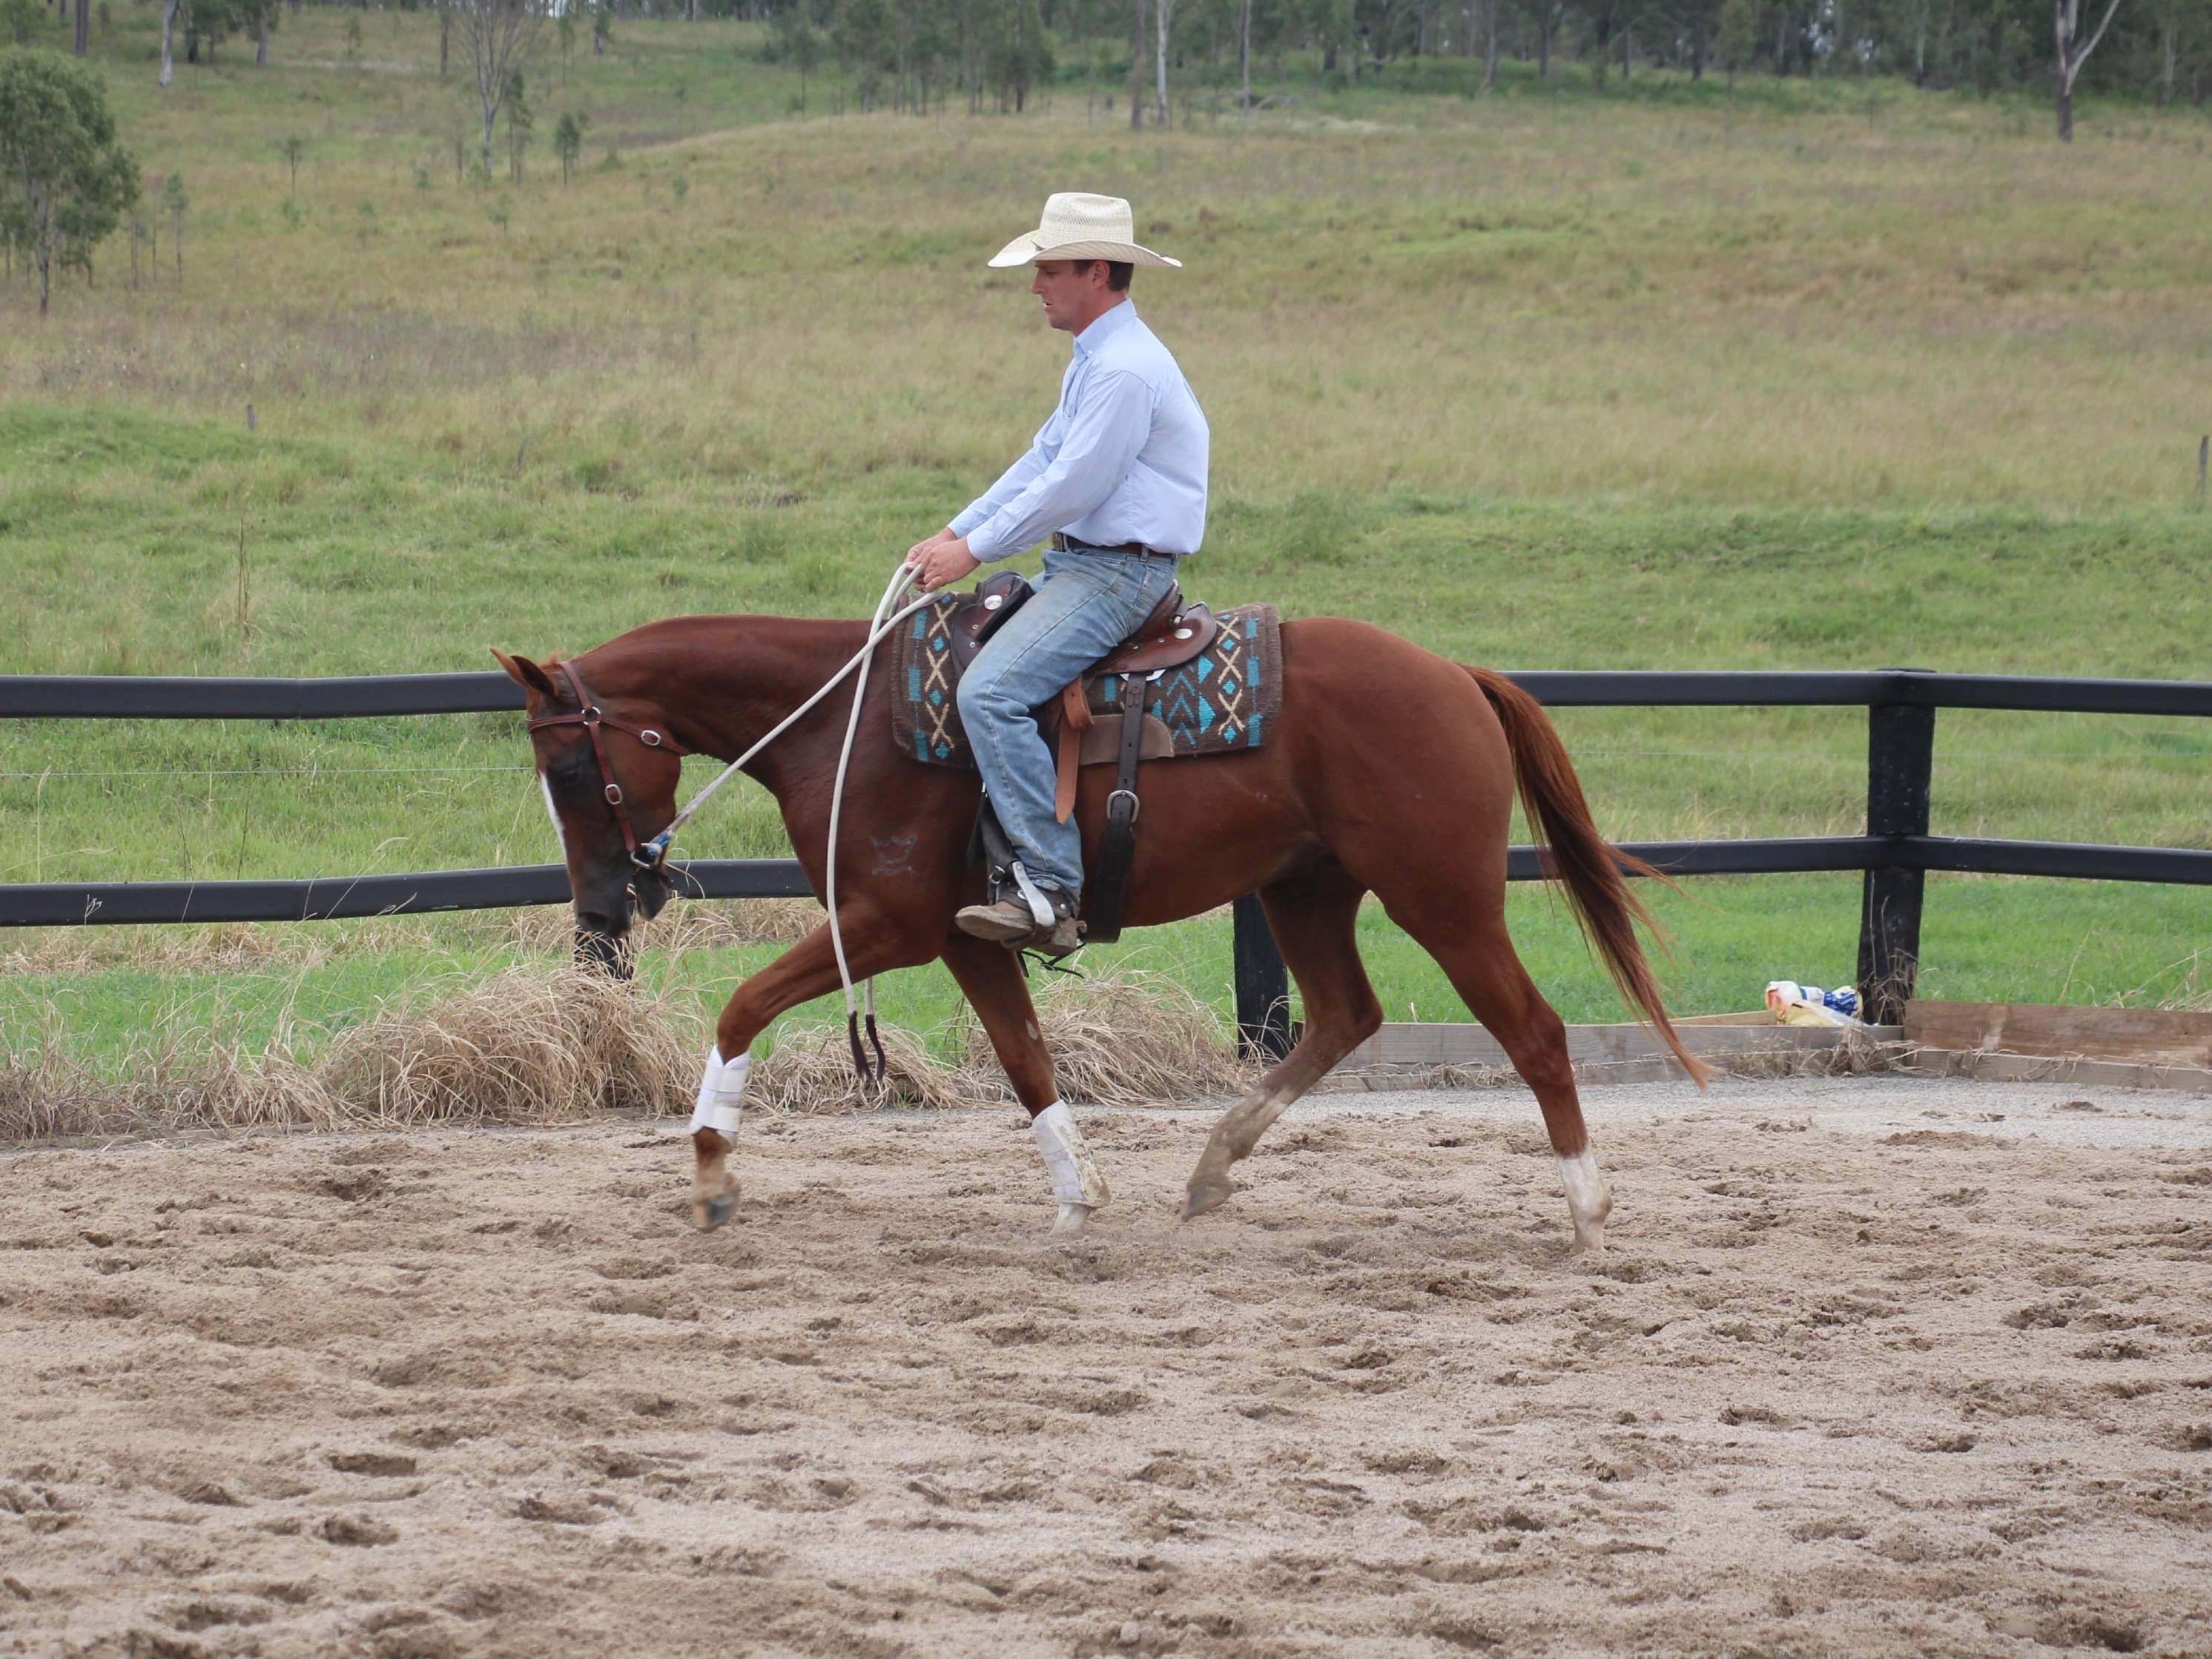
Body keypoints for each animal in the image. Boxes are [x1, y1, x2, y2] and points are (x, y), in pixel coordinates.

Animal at [493, 608, 1708, 1255]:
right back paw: (1212, 1167)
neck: (841, 723)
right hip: (1304, 890)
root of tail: (1455, 674)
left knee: (1533, 1031)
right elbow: (1026, 1059)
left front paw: (708, 1172)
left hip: (1443, 898)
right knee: (1341, 1015)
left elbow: (742, 1003)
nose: (599, 910)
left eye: (573, 770)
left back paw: (1587, 1210)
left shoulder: (885, 923)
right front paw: (1079, 1196)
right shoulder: (964, 936)